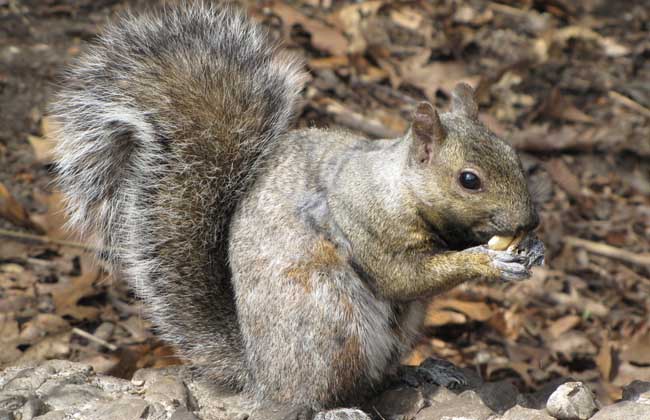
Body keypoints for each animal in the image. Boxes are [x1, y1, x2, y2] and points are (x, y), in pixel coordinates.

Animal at [49, 1, 536, 418]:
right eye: (469, 180)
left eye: (513, 154)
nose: (529, 221)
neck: (398, 188)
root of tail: (259, 375)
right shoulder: (364, 221)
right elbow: (402, 277)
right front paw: (488, 260)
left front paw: (531, 250)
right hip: (329, 322)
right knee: (318, 394)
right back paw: (334, 408)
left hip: (397, 328)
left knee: (377, 379)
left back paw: (421, 372)